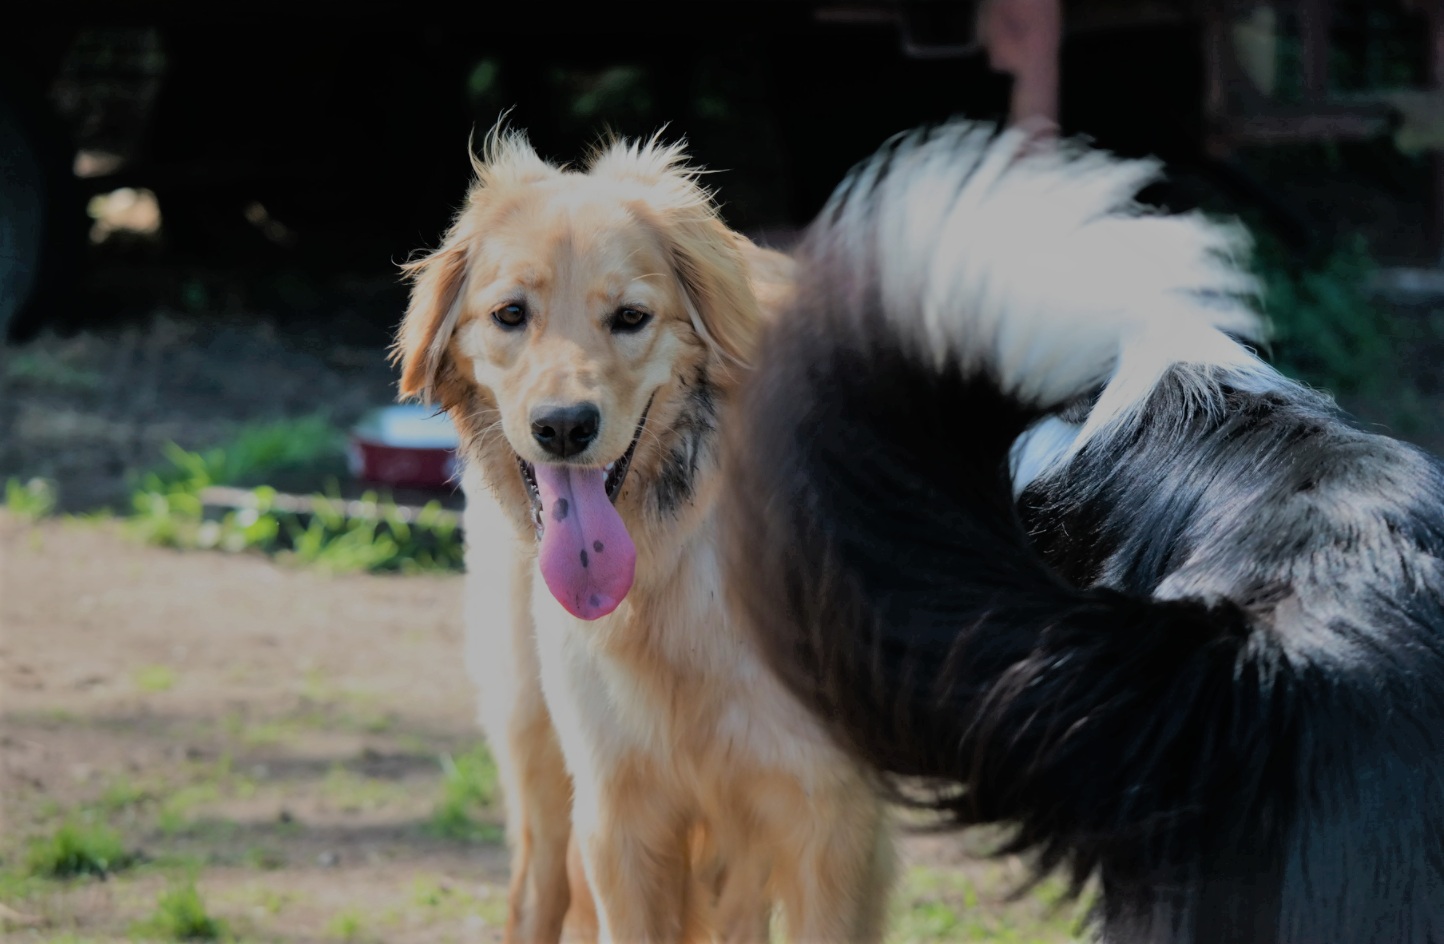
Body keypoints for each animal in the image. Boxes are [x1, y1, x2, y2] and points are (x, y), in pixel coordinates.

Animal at [392, 127, 889, 944]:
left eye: (630, 316)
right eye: (511, 314)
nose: (564, 427)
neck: (680, 562)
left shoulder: (830, 826)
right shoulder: (619, 818)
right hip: (539, 749)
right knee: (534, 893)